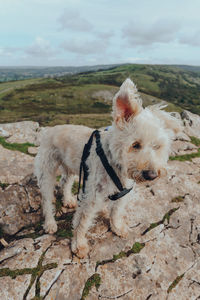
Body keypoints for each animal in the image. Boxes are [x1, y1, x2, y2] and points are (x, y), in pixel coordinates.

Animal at [33, 79, 180, 258]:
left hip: (72, 168)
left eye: (157, 146)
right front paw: (79, 245)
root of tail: (48, 130)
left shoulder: (123, 192)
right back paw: (50, 223)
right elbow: (82, 222)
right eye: (135, 145)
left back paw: (68, 200)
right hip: (47, 171)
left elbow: (116, 211)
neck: (114, 162)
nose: (151, 174)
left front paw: (117, 227)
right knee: (46, 199)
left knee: (65, 182)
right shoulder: (91, 197)